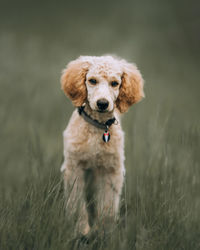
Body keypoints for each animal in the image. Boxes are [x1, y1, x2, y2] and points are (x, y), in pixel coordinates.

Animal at [59, 55, 144, 235]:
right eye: (92, 80)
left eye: (115, 83)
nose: (103, 103)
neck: (97, 127)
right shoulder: (74, 167)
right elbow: (77, 202)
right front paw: (82, 230)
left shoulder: (111, 170)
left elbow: (108, 204)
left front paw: (105, 232)